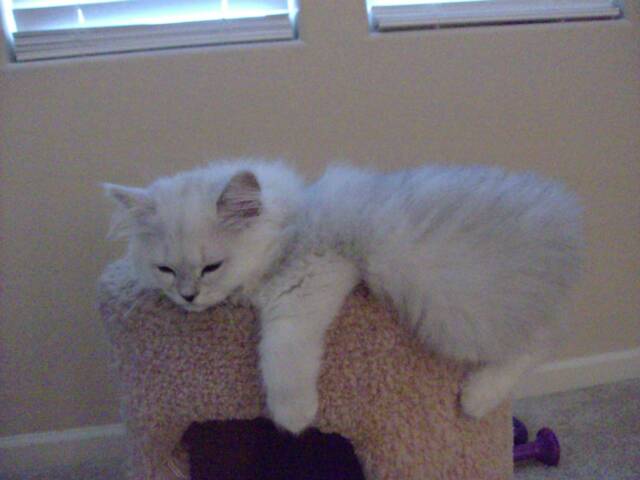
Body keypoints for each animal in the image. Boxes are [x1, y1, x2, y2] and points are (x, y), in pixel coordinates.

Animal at [104, 160, 582, 434]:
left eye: (211, 267)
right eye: (165, 270)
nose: (187, 297)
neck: (292, 221)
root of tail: (567, 225)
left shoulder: (310, 281)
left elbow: (281, 354)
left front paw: (294, 416)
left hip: (462, 316)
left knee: (538, 345)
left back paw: (478, 397)